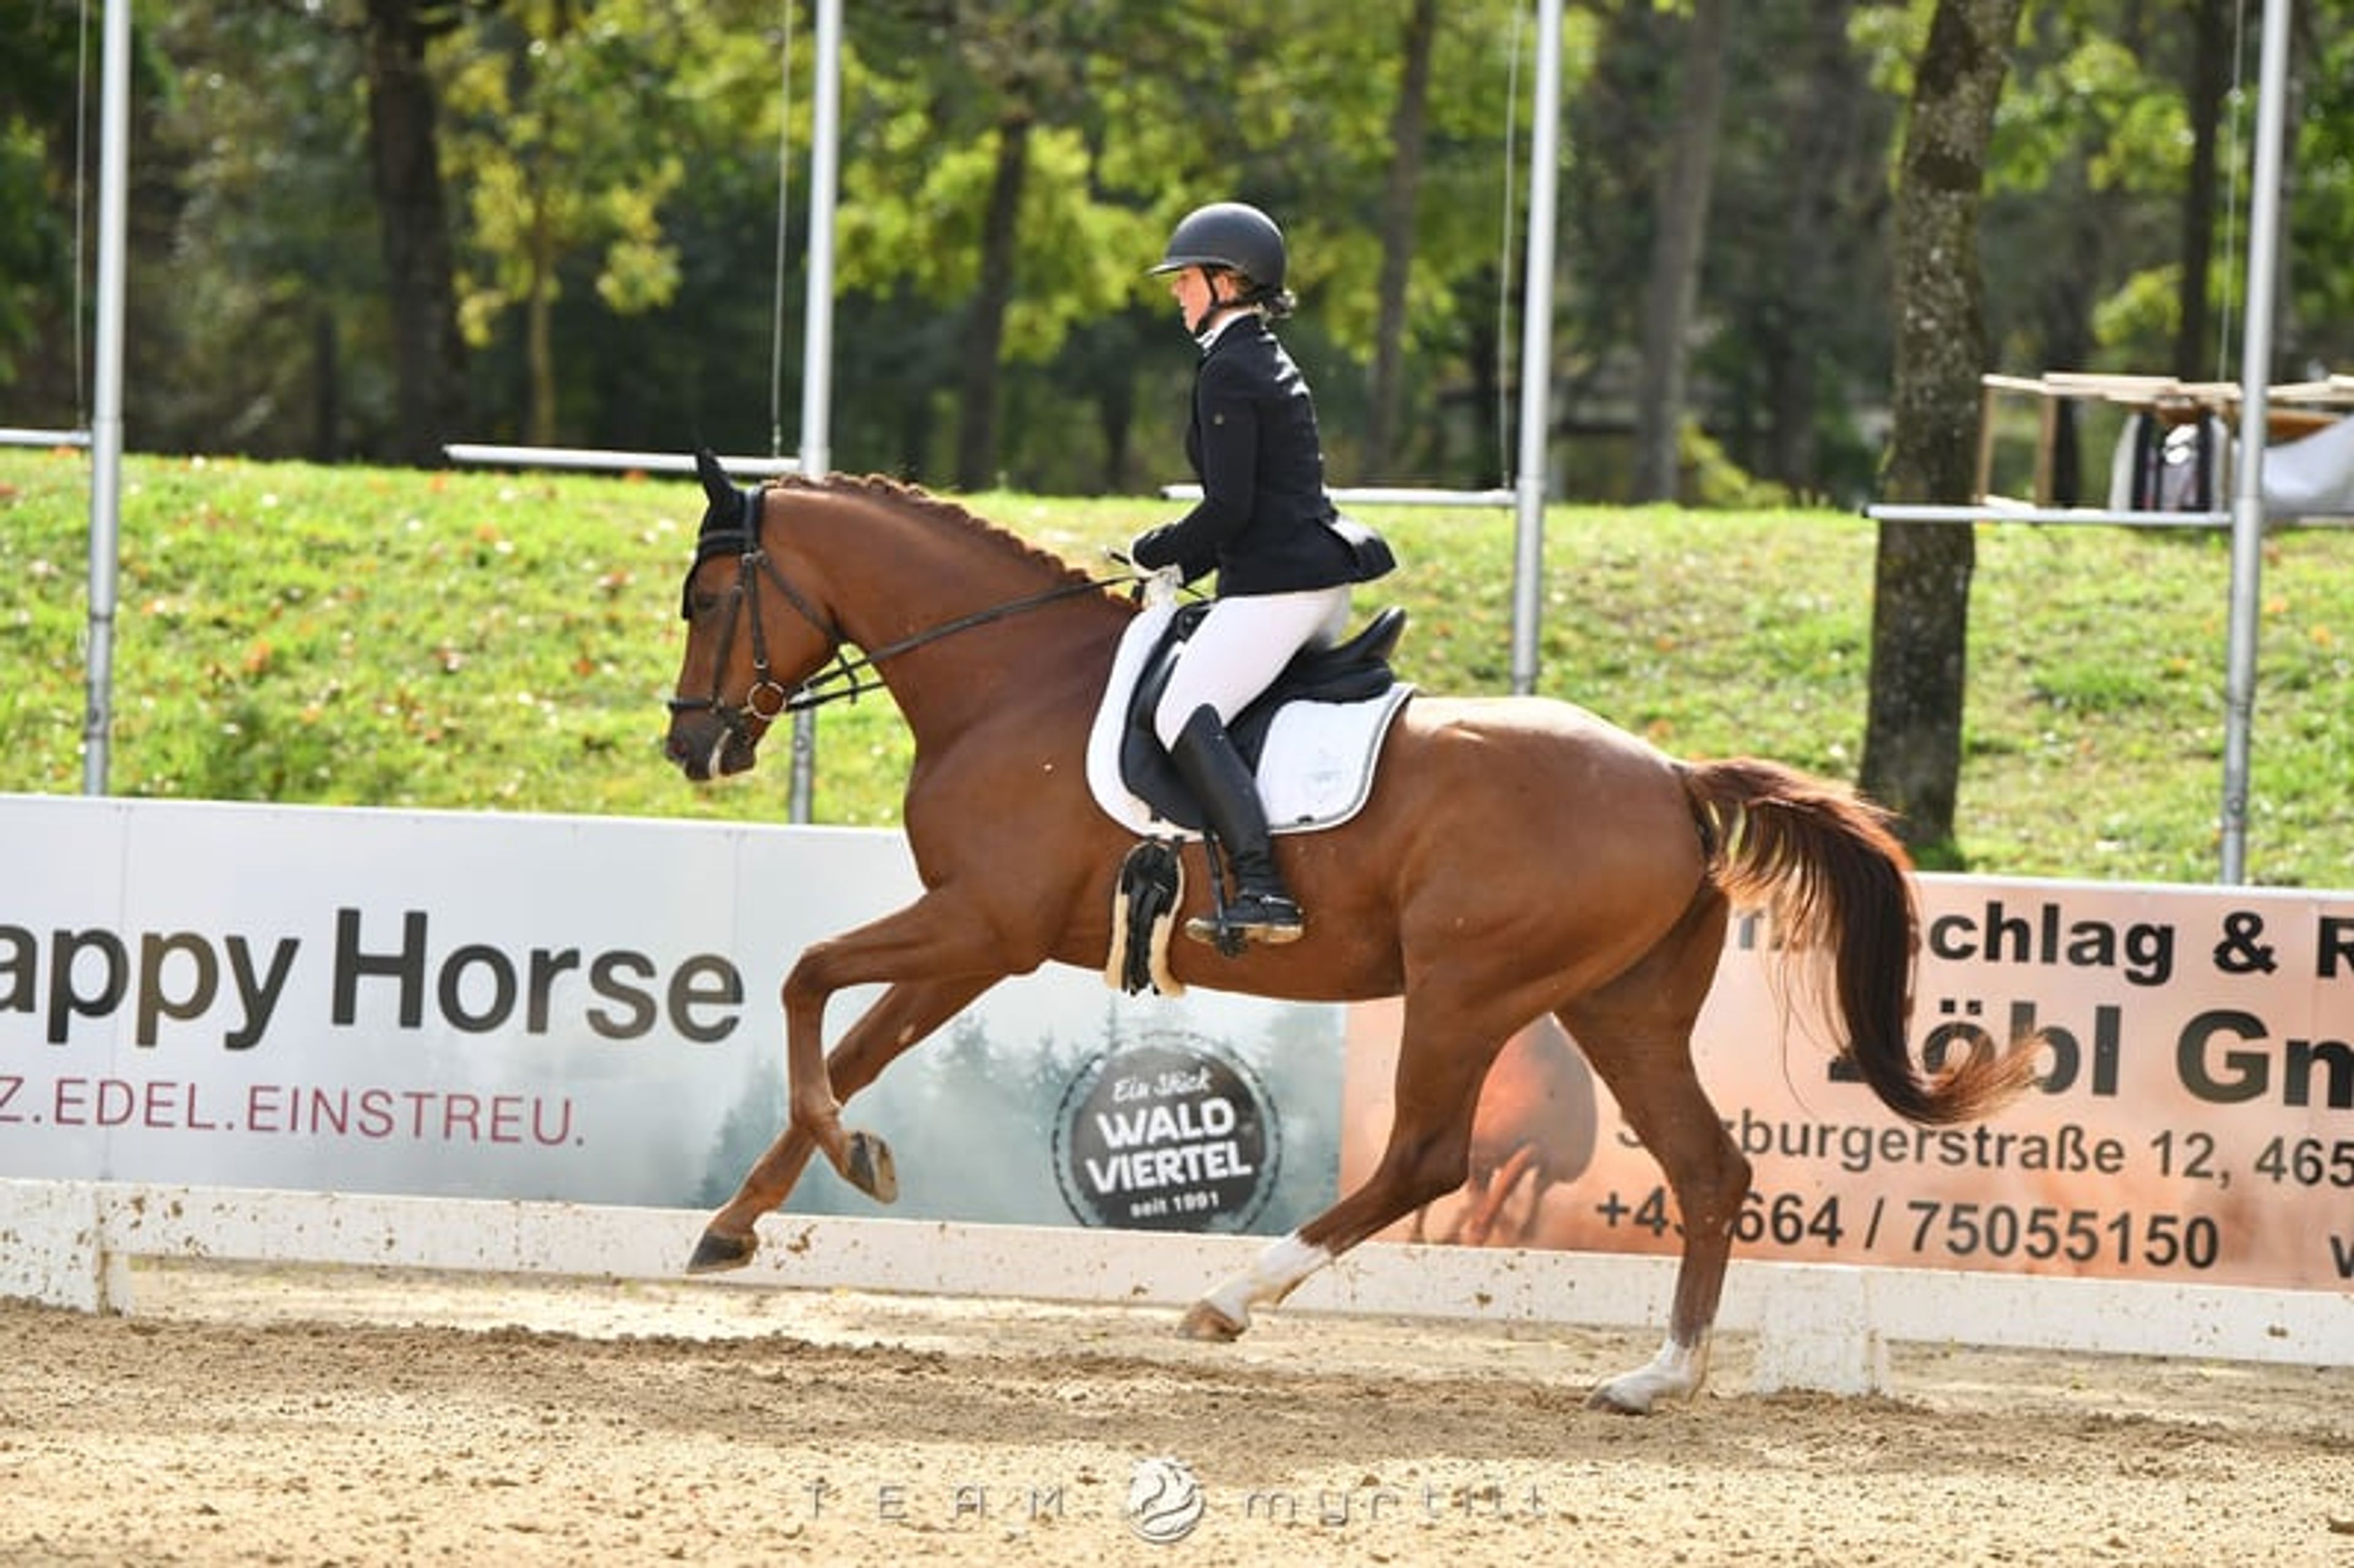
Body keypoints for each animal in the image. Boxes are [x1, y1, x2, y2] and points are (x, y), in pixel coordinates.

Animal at [661, 458, 2040, 1414]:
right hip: (1619, 1004)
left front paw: (839, 1166)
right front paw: (745, 1220)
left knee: (1427, 1158)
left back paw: (1229, 1298)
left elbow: (805, 983)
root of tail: (1672, 777)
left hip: (1468, 989)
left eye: (714, 595)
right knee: (1707, 1167)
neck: (1009, 683)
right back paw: (1659, 1376)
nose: (694, 746)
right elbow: (850, 1048)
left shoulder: (976, 922)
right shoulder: (974, 938)